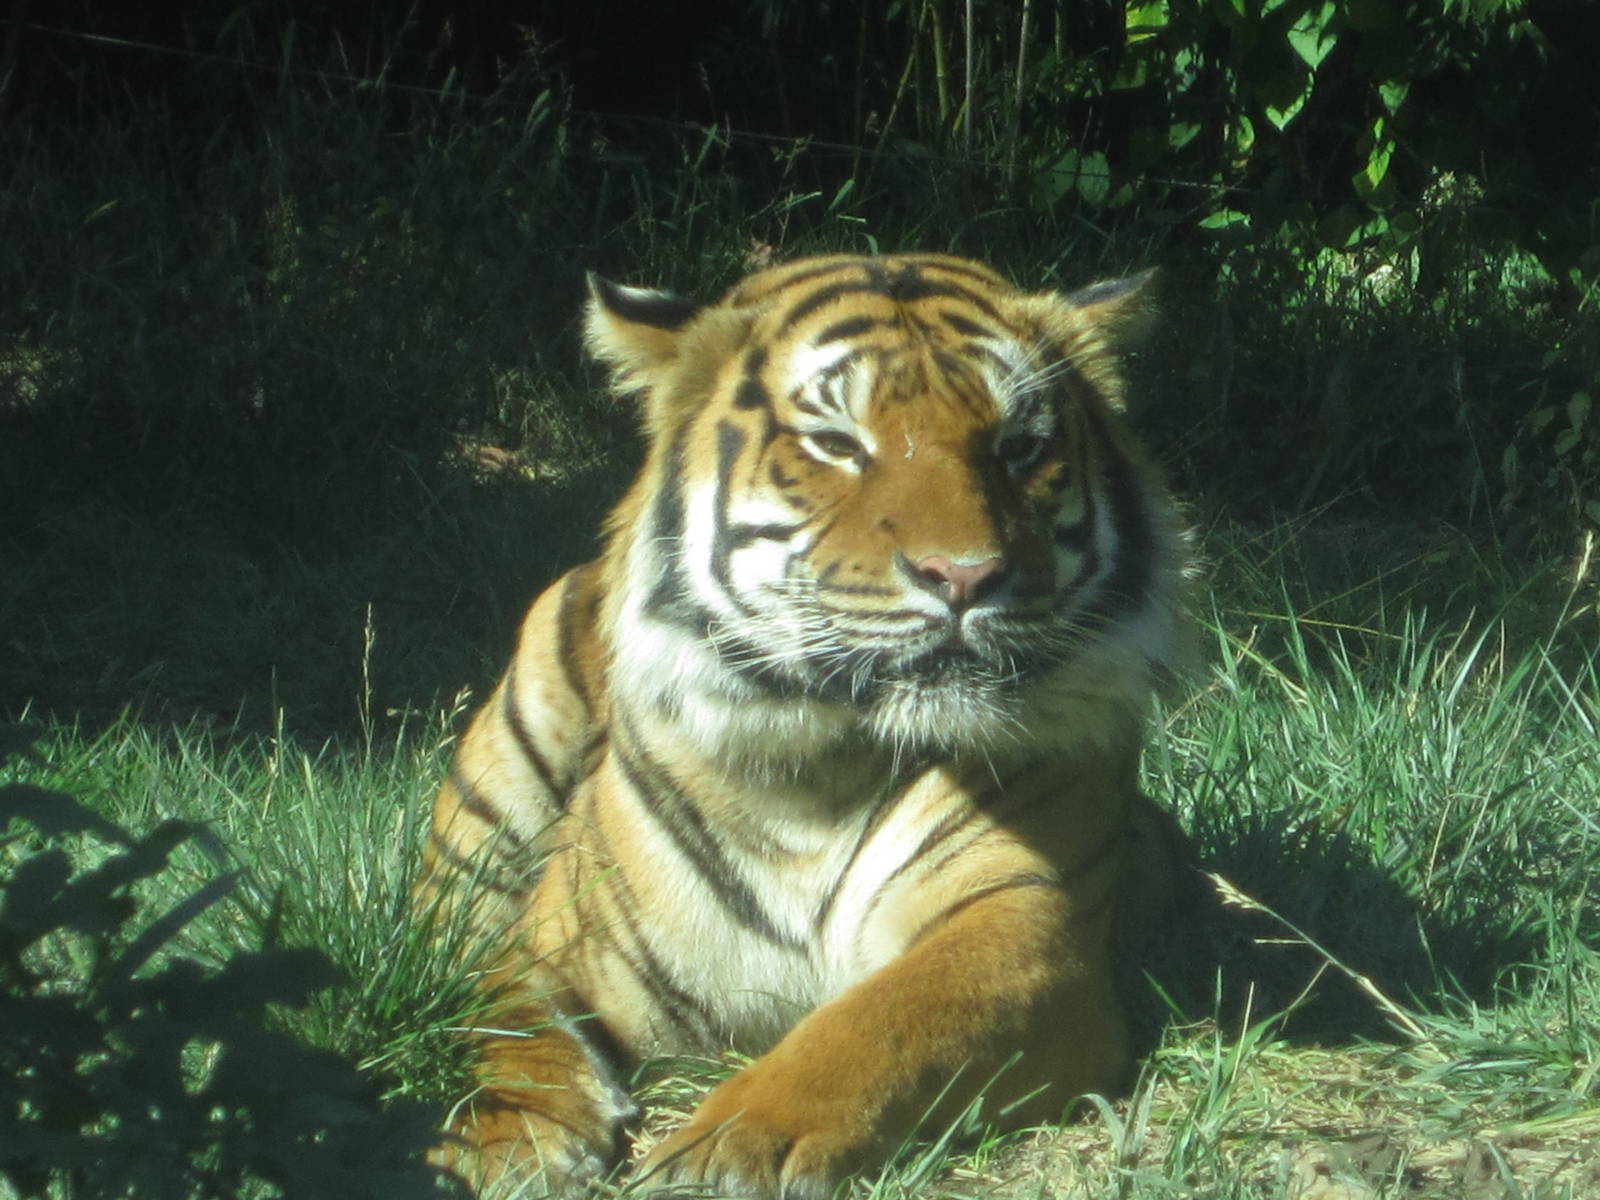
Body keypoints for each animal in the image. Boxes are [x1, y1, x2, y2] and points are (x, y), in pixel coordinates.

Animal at [422, 252, 1194, 1198]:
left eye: (1018, 447)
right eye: (838, 444)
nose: (966, 576)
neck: (819, 765)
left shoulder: (1029, 925)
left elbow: (878, 1025)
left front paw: (729, 1147)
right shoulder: (550, 941)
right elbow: (501, 1015)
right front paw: (511, 1133)